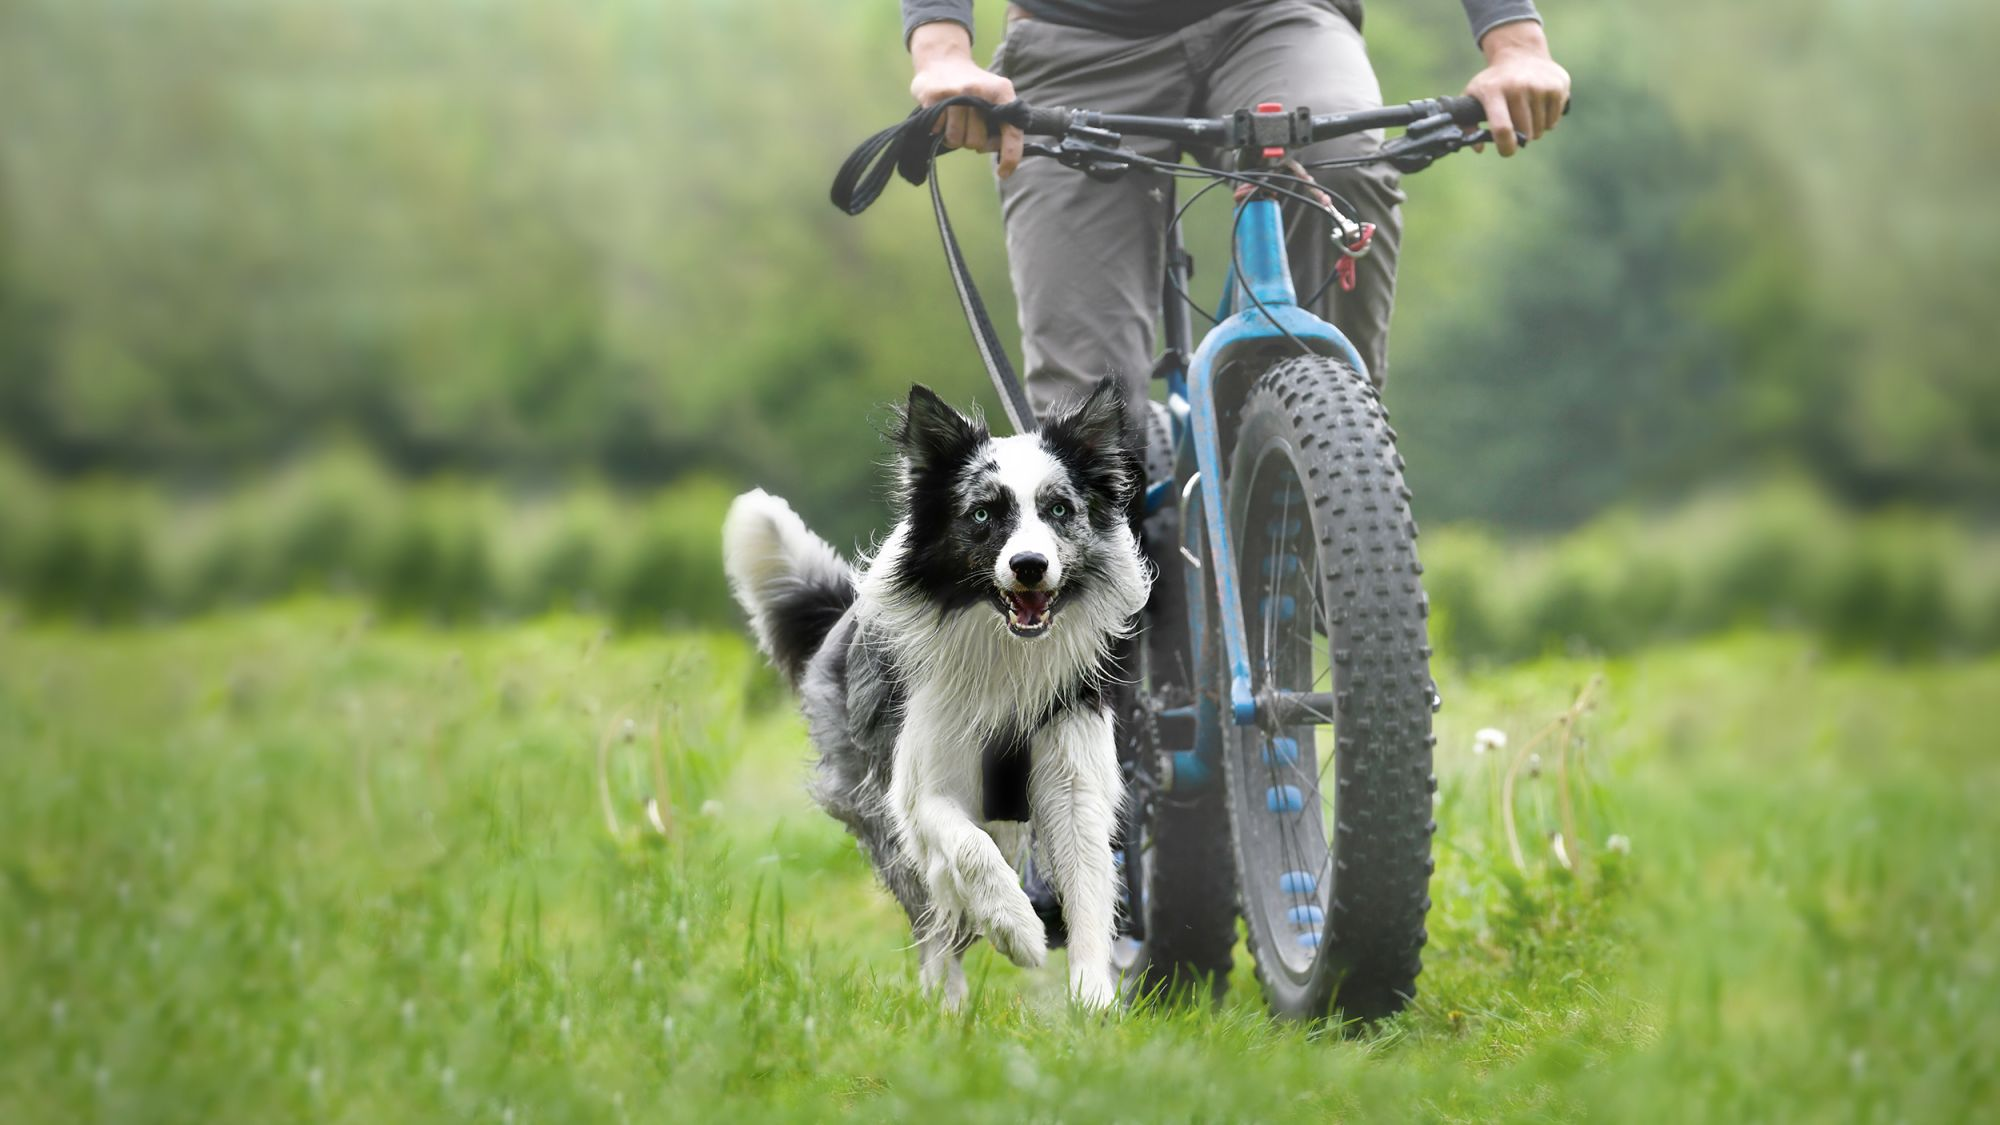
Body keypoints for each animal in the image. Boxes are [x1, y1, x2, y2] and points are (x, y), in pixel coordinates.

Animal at [728, 378, 1152, 1008]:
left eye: (1059, 510)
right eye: (982, 514)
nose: (1030, 565)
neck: (1006, 654)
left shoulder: (1074, 775)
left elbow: (1089, 886)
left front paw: (1092, 999)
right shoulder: (918, 790)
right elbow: (970, 851)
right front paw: (1019, 931)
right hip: (877, 815)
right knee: (935, 921)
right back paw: (945, 1008)